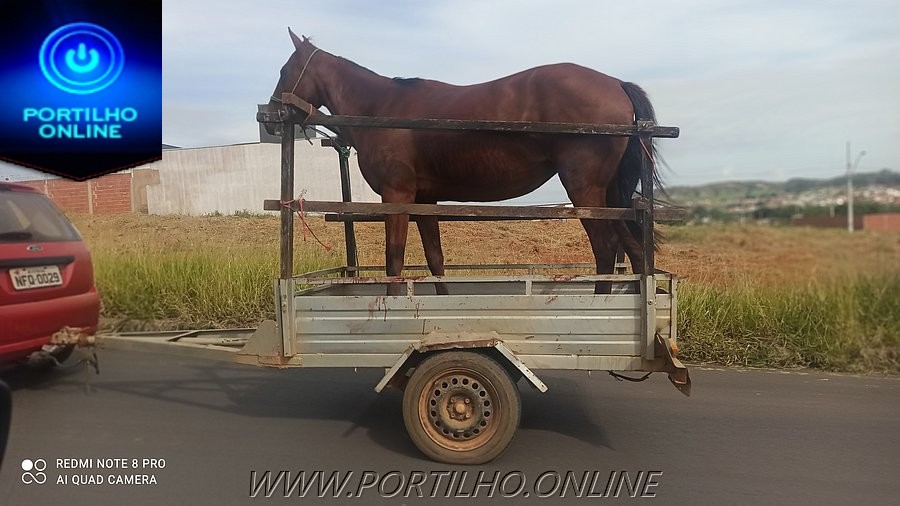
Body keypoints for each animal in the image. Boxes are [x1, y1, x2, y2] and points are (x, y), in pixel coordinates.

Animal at [266, 29, 661, 293]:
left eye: (285, 70)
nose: (269, 117)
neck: (381, 108)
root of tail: (616, 84)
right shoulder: (425, 200)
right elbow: (435, 258)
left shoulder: (397, 196)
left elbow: (395, 259)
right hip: (610, 194)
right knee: (632, 250)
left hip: (585, 190)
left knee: (605, 248)